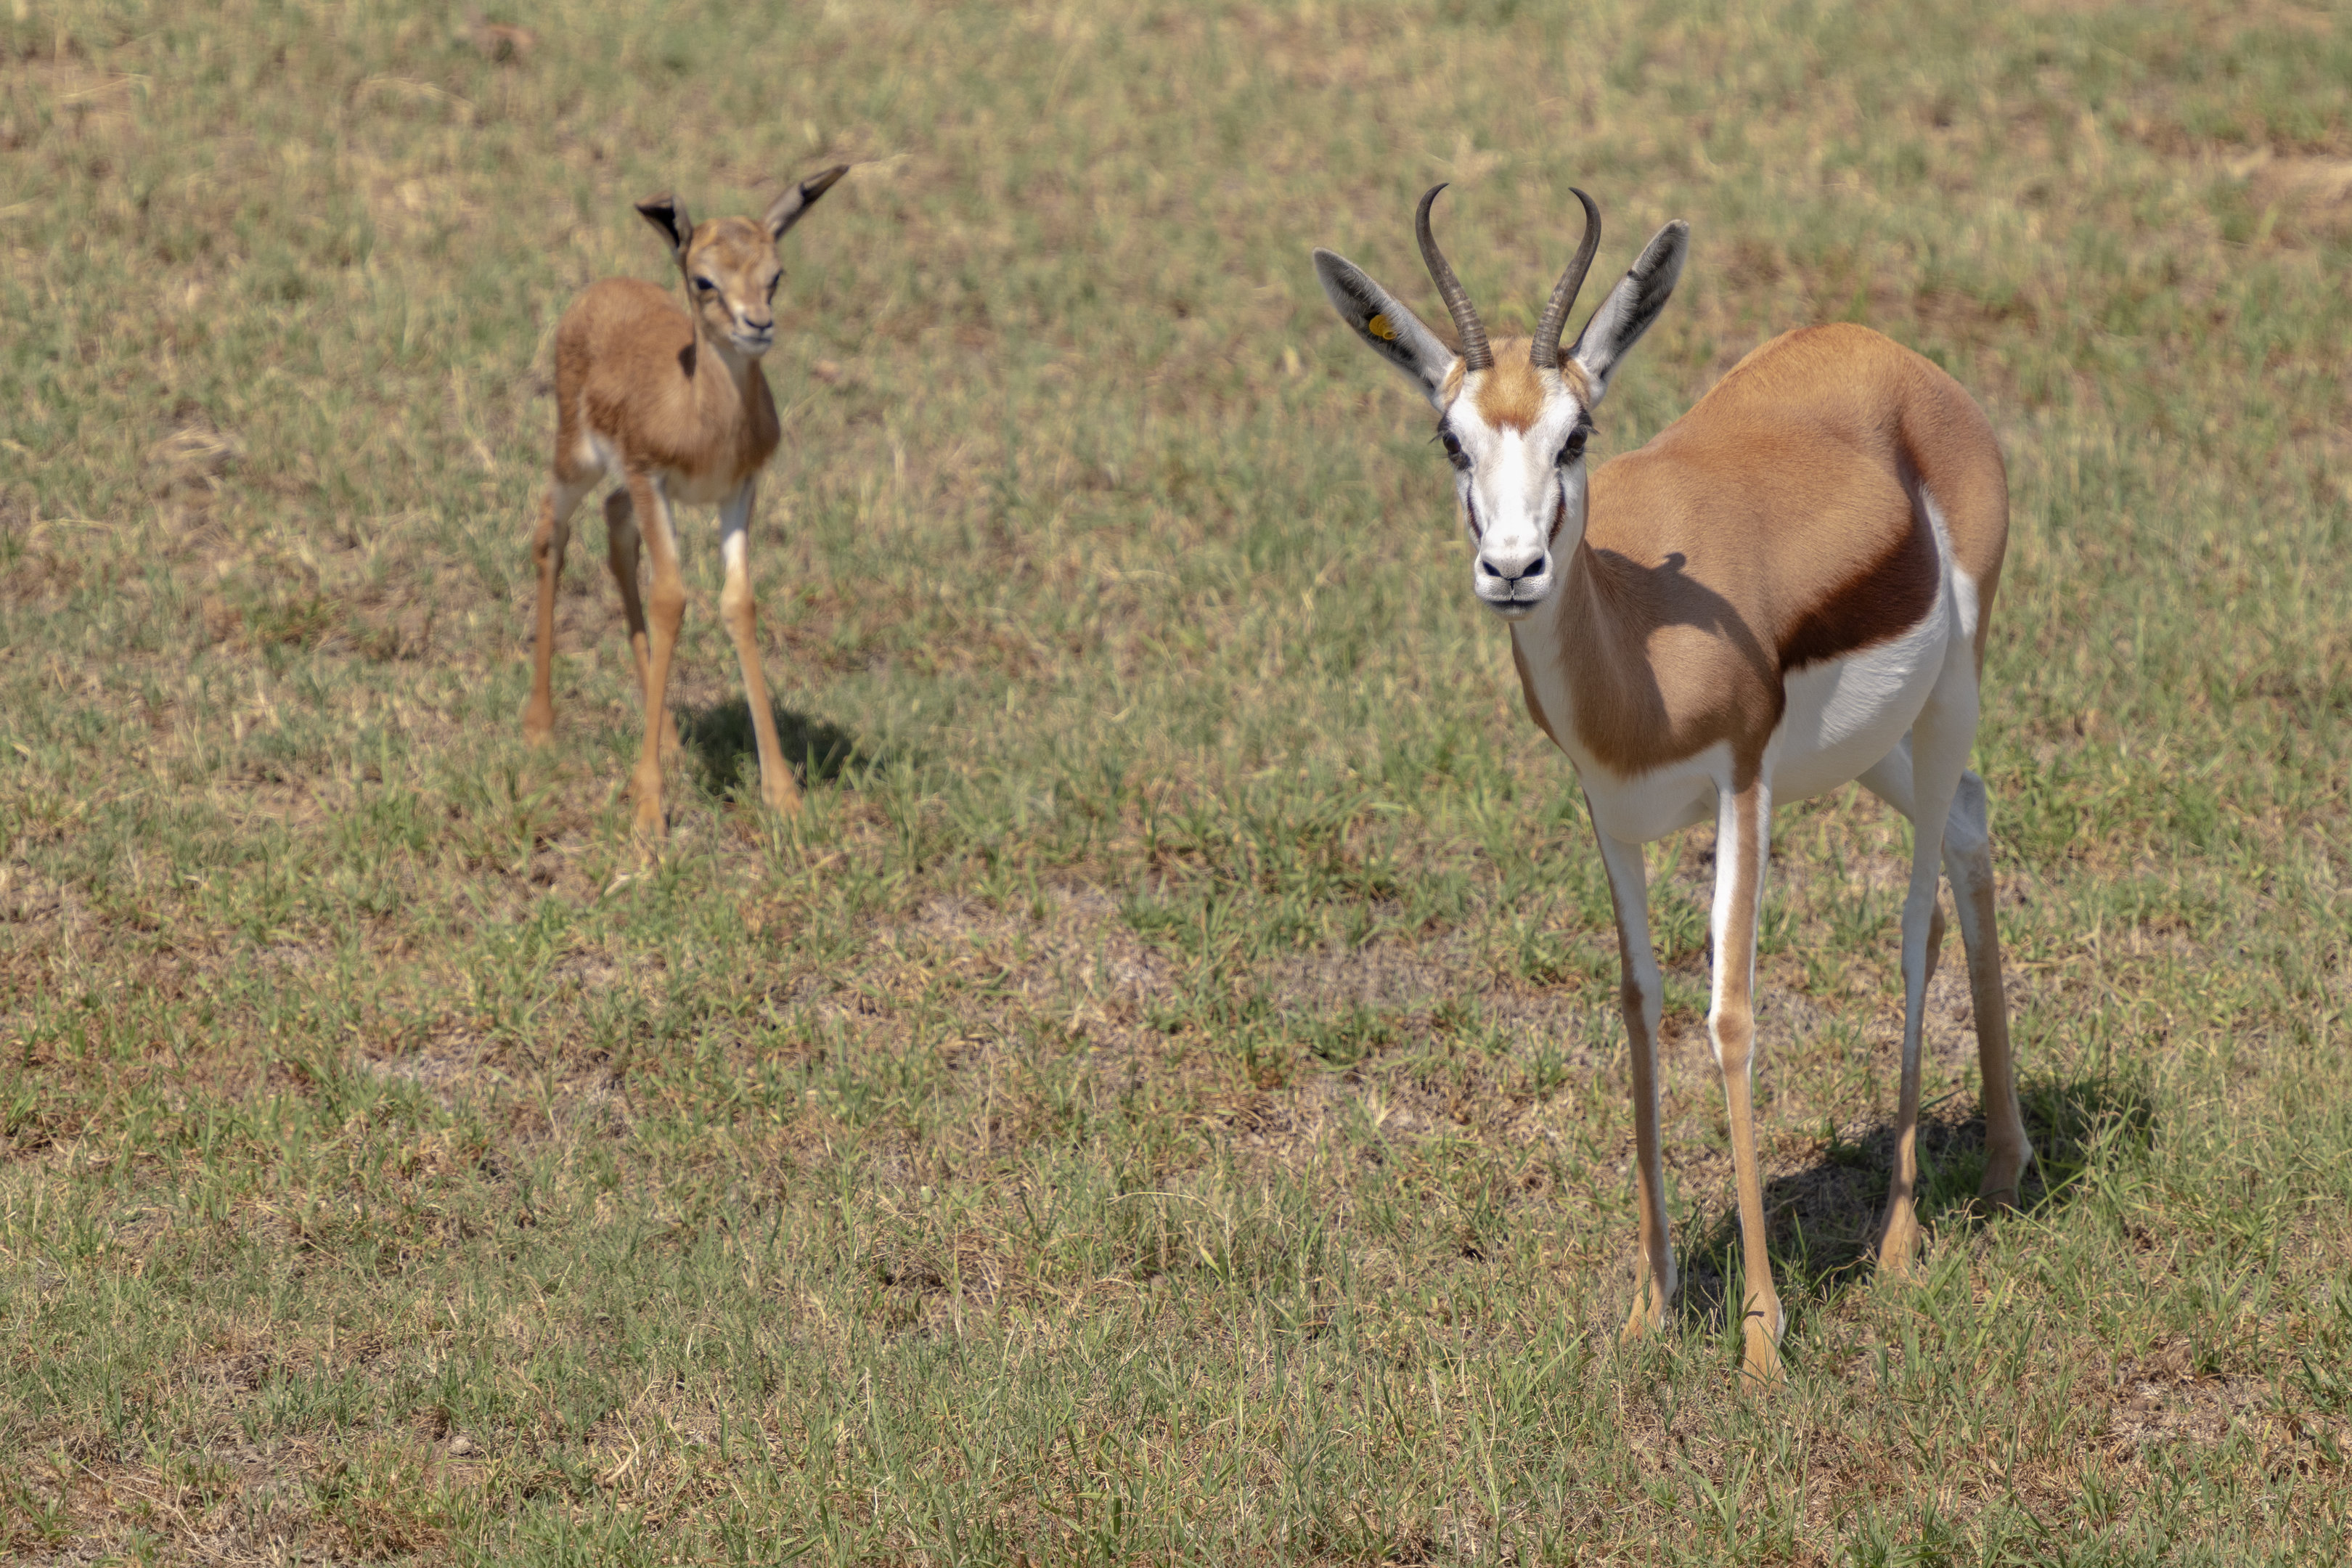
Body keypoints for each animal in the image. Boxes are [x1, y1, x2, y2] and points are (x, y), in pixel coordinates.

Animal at [522, 165, 850, 842]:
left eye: (775, 274)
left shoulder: (738, 491)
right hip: (578, 462)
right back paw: (540, 728)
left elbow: (738, 603)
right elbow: (671, 599)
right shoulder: (653, 479)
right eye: (704, 280)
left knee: (614, 526)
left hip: (626, 487)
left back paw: (670, 739)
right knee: (551, 535)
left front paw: (783, 797)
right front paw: (649, 811)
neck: (703, 413)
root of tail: (600, 290)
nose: (758, 325)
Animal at [1313, 186, 2033, 1385]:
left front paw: (1761, 1335)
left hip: (1950, 694)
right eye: (1453, 439)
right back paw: (2004, 1165)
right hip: (1873, 744)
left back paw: (1900, 1235)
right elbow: (1639, 1006)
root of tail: (1894, 360)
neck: (1636, 641)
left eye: (1575, 434)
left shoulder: (1743, 786)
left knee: (1918, 914)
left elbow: (1728, 1013)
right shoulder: (1612, 815)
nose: (1513, 571)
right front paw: (1648, 1308)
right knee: (1974, 826)